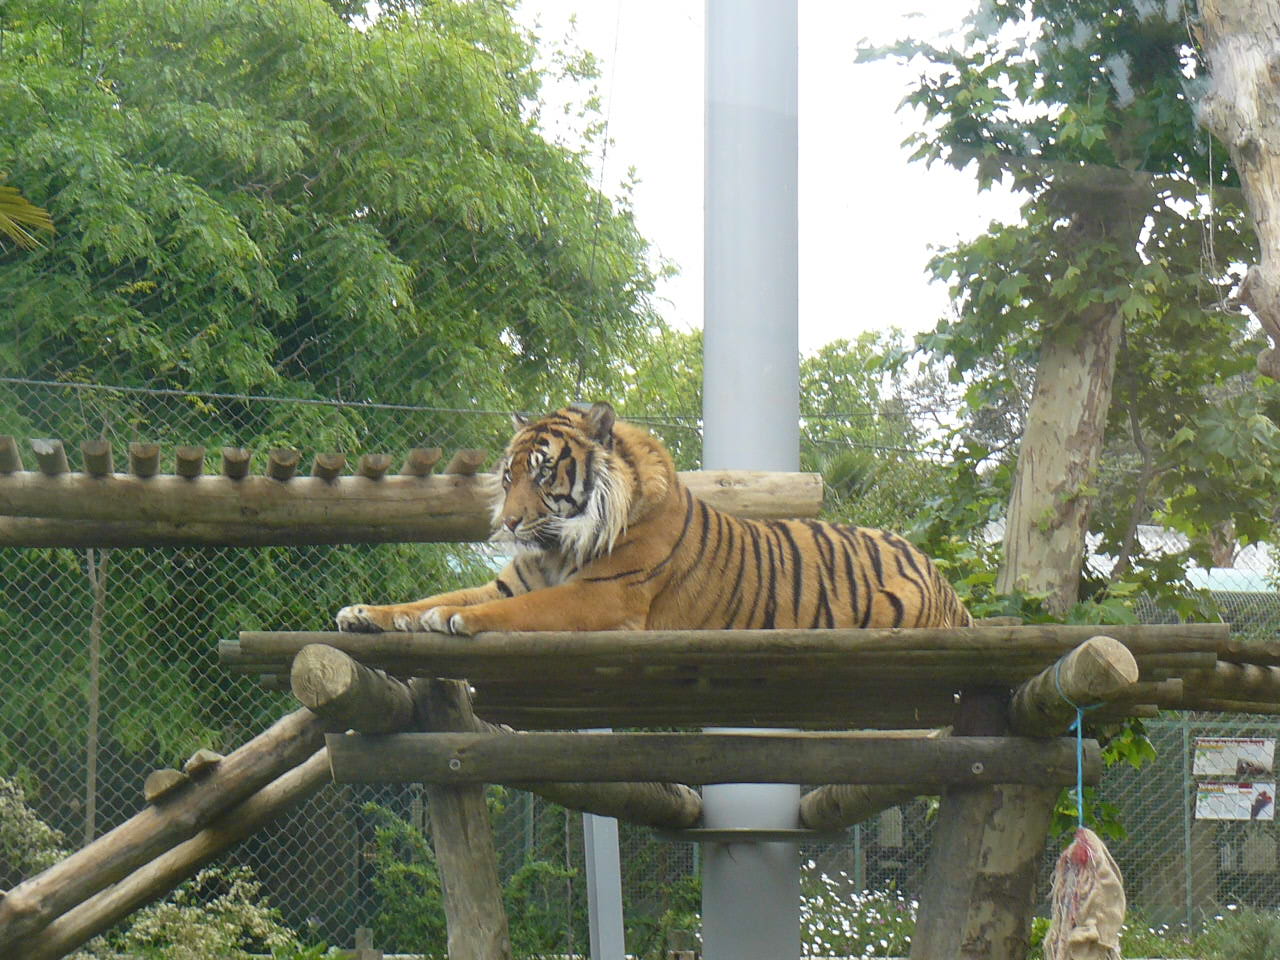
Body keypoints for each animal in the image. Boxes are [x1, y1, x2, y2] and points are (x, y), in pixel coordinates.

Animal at [335, 402, 972, 635]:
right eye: (509, 477)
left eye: (543, 475)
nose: (511, 526)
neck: (559, 545)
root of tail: (939, 573)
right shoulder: (512, 580)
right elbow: (433, 596)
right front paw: (364, 612)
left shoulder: (602, 595)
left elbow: (512, 610)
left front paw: (455, 619)